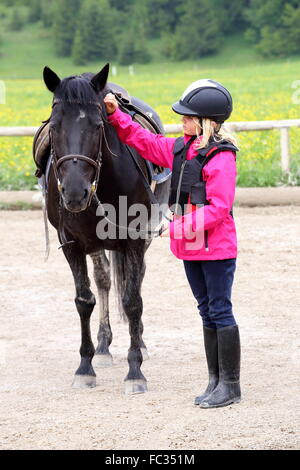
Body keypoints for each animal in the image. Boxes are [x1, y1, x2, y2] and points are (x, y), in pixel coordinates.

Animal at [41, 62, 170, 392]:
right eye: (54, 127)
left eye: (98, 125)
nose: (75, 192)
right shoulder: (72, 243)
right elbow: (84, 300)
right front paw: (85, 366)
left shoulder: (135, 238)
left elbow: (133, 301)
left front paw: (135, 371)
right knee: (103, 280)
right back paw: (102, 347)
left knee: (135, 281)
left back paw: (141, 344)